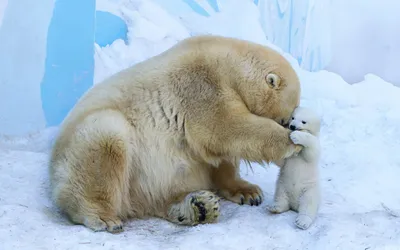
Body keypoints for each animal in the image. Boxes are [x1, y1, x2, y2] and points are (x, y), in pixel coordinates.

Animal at [48, 34, 302, 232]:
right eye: (285, 118)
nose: (290, 124)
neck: (227, 63)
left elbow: (219, 155)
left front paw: (248, 192)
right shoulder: (200, 85)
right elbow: (226, 128)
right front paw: (292, 143)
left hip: (148, 182)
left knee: (162, 194)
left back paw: (198, 208)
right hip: (89, 142)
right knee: (105, 141)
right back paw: (102, 216)